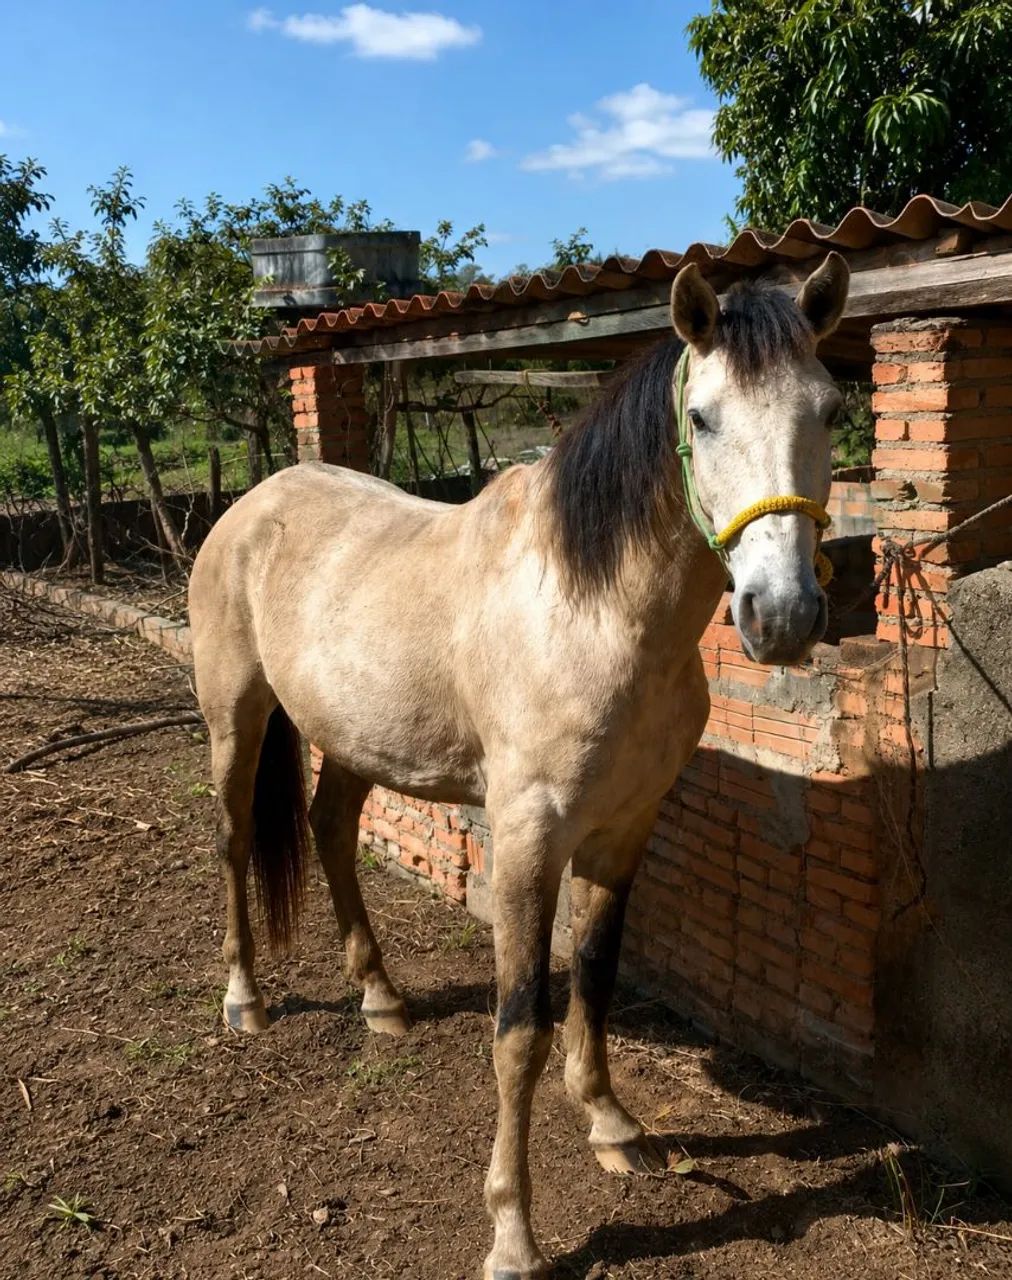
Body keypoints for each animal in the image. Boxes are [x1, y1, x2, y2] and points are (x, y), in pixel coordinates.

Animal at [188, 252, 850, 1279]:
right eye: (702, 417)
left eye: (828, 407)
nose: (781, 617)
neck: (592, 611)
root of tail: (251, 507)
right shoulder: (530, 839)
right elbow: (519, 1028)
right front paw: (512, 1234)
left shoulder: (623, 829)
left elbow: (596, 978)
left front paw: (614, 1127)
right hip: (237, 719)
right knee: (228, 844)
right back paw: (245, 1002)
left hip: (358, 738)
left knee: (331, 830)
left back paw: (381, 999)